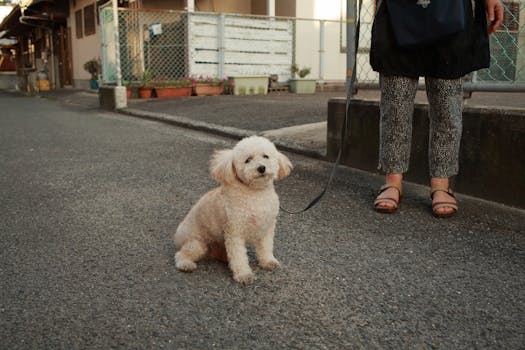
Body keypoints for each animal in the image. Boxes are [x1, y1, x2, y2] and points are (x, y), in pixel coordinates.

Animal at [175, 135, 290, 284]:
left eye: (266, 156)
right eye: (248, 160)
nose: (261, 168)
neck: (256, 193)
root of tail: (178, 235)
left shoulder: (266, 228)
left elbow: (266, 247)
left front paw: (268, 261)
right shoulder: (235, 231)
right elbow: (239, 256)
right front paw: (244, 275)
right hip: (197, 243)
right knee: (181, 254)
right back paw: (185, 264)